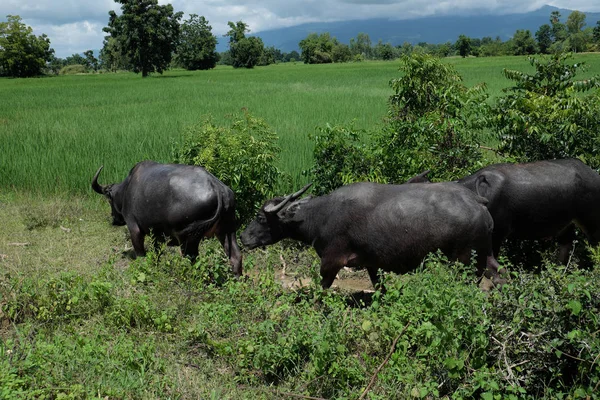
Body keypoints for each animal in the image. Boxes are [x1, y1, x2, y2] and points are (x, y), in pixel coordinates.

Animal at [91, 161, 241, 276]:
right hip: (226, 230)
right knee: (235, 256)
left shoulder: (134, 228)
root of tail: (217, 187)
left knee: (191, 259)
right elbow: (157, 252)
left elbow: (140, 254)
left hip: (189, 239)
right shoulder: (156, 234)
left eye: (109, 200)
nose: (114, 219)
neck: (126, 189)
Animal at [239, 181, 502, 288]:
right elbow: (379, 286)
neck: (323, 215)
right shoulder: (372, 263)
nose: (243, 238)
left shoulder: (331, 261)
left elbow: (322, 286)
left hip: (465, 261)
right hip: (485, 255)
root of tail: (477, 201)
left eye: (261, 218)